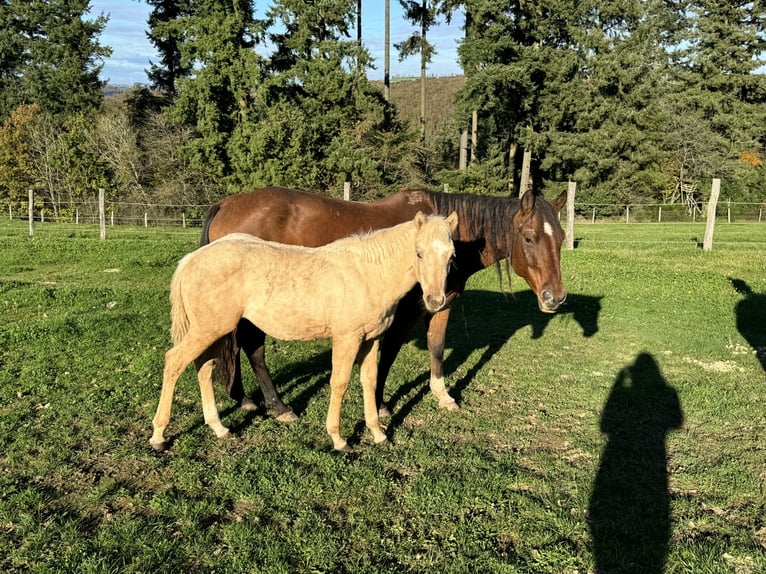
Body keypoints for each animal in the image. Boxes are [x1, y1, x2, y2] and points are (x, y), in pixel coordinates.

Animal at [153, 213, 460, 454]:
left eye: (451, 256)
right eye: (419, 252)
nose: (435, 301)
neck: (367, 274)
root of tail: (192, 258)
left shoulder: (370, 340)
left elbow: (369, 382)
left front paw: (378, 434)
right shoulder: (346, 339)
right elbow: (339, 383)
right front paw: (339, 439)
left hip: (215, 332)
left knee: (204, 368)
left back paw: (219, 427)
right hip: (207, 330)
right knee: (174, 362)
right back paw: (158, 435)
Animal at [201, 187, 568, 420]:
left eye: (562, 238)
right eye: (530, 237)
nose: (555, 297)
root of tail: (226, 203)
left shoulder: (440, 304)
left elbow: (437, 347)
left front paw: (442, 396)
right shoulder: (404, 311)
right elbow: (389, 353)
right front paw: (379, 404)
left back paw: (244, 398)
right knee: (253, 345)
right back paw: (278, 406)